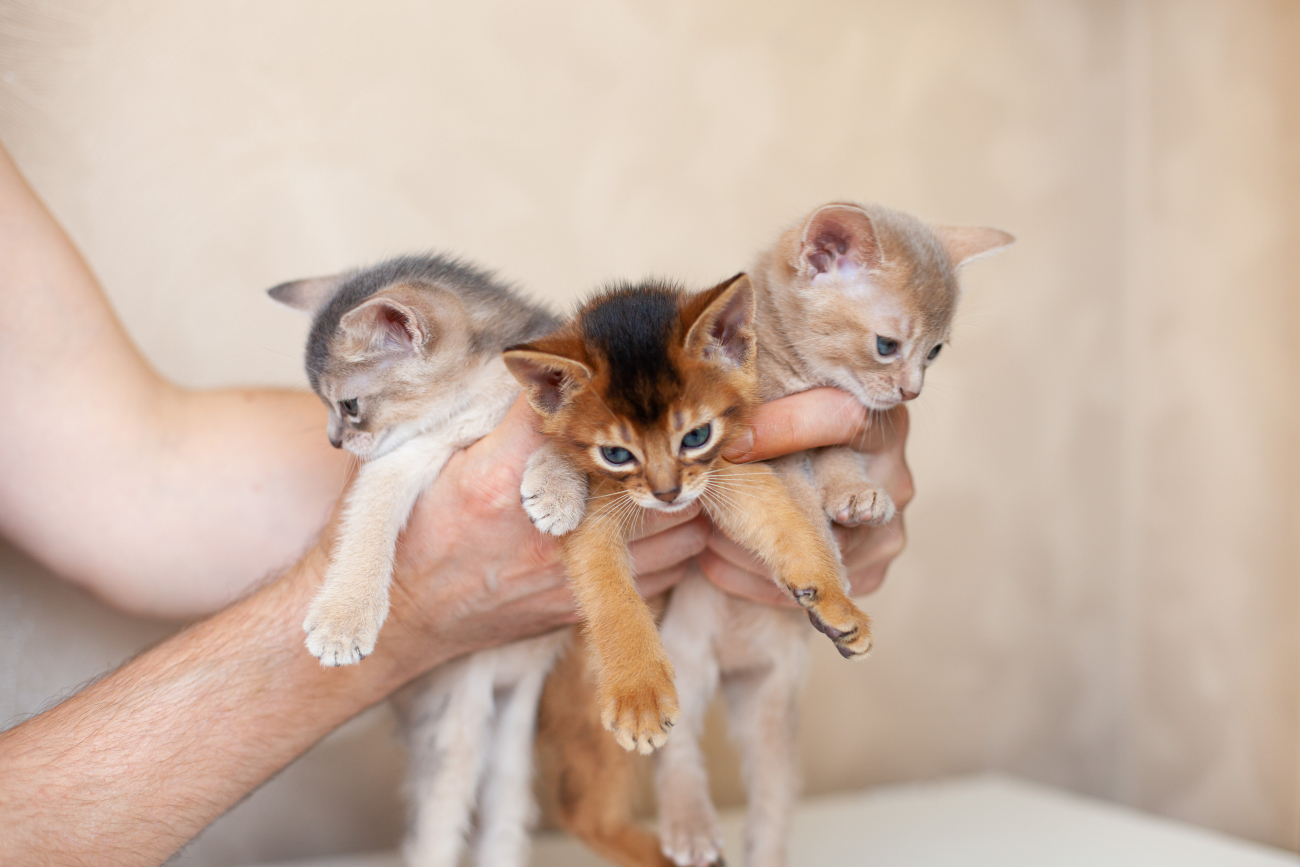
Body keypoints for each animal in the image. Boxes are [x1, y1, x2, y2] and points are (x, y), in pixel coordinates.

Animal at [270, 256, 569, 867]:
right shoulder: (404, 458)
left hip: (510, 738)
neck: (486, 388)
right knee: (438, 824)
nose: (334, 442)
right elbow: (370, 515)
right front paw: (344, 619)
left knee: (504, 812)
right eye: (328, 409)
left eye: (349, 405)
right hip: (458, 724)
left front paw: (558, 489)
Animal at [501, 272, 868, 759]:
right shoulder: (596, 517)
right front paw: (640, 697)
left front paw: (835, 600)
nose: (667, 493)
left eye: (696, 436)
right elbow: (612, 597)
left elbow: (788, 525)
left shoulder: (731, 471)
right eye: (616, 454)